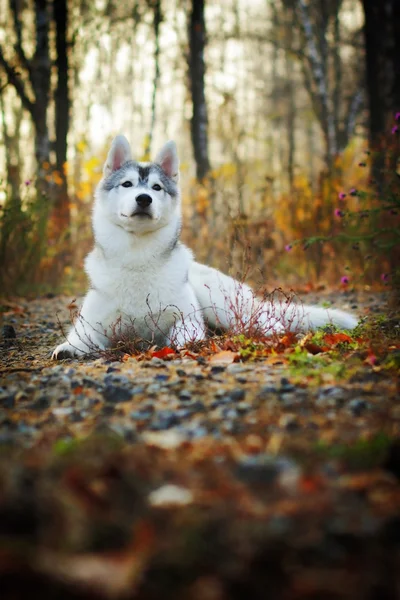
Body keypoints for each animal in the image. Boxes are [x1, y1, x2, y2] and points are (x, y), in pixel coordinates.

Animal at [52, 136, 356, 358]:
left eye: (157, 187)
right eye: (127, 184)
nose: (144, 198)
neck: (138, 258)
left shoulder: (187, 316)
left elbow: (185, 331)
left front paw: (182, 343)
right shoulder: (94, 320)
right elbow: (81, 335)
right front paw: (69, 347)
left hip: (218, 301)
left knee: (264, 319)